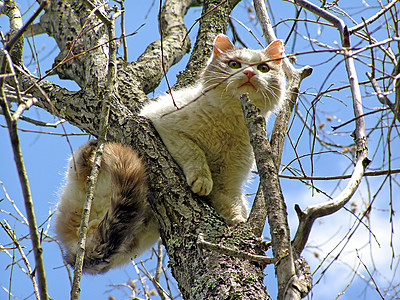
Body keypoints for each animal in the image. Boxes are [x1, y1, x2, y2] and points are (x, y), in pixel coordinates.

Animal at [54, 34, 286, 274]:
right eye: (234, 64)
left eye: (263, 68)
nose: (249, 73)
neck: (229, 123)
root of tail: (73, 250)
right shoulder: (165, 126)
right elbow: (193, 152)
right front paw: (202, 180)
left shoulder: (229, 183)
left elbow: (231, 203)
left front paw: (238, 220)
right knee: (80, 166)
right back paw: (90, 156)